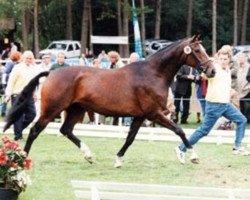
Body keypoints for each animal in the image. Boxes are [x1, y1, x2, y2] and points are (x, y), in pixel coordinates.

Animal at [2, 35, 215, 167]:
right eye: (197, 50)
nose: (212, 70)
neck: (153, 73)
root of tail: (52, 72)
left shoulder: (140, 116)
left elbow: (130, 139)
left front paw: (118, 160)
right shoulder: (155, 114)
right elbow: (180, 131)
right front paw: (193, 156)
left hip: (76, 109)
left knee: (66, 130)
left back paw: (88, 155)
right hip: (52, 110)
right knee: (35, 131)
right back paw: (23, 159)